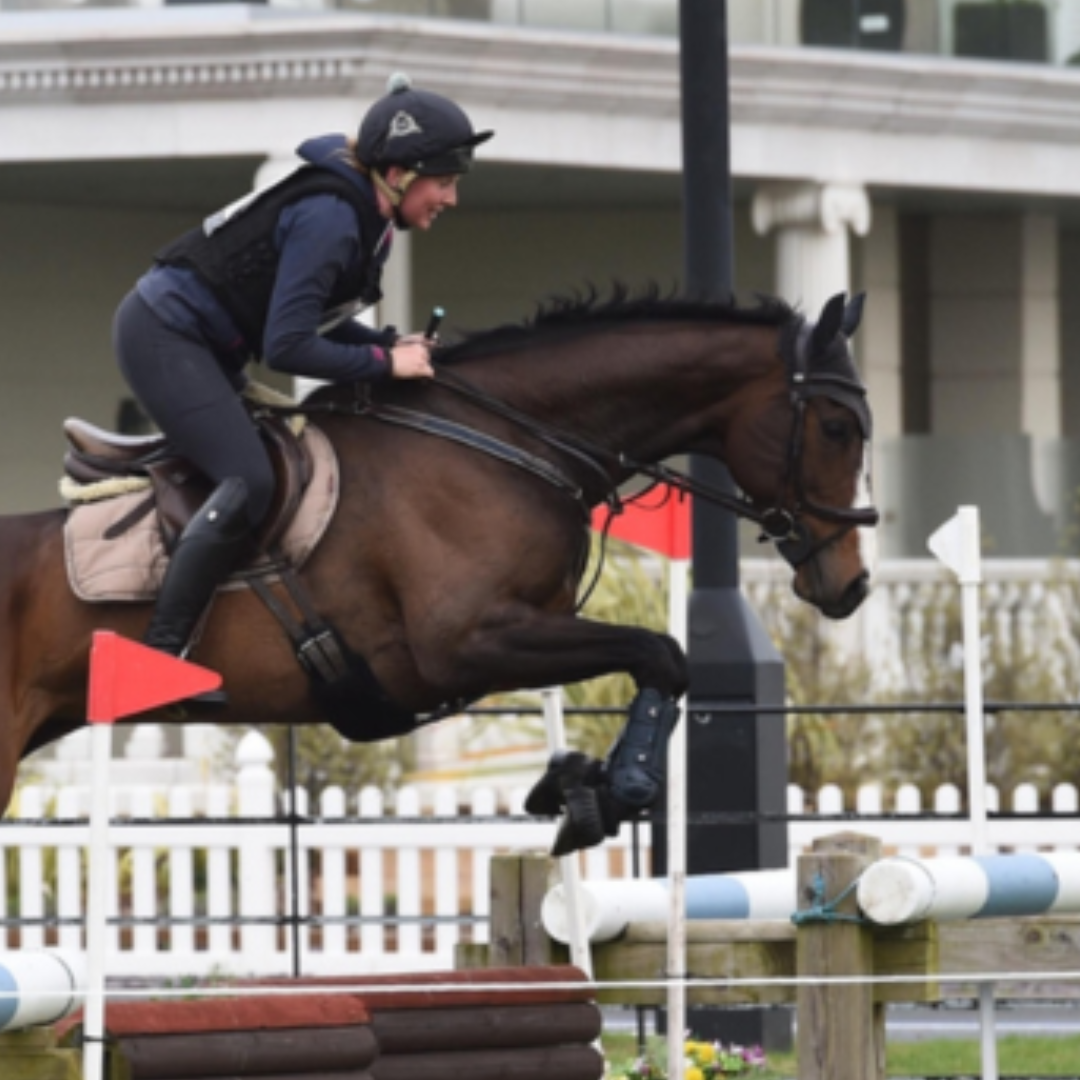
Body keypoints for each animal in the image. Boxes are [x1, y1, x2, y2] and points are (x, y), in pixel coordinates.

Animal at [0, 286, 877, 853]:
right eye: (837, 427)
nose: (852, 583)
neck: (507, 440)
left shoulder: (513, 638)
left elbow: (650, 665)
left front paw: (574, 786)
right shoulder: (466, 643)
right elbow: (660, 652)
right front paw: (621, 785)